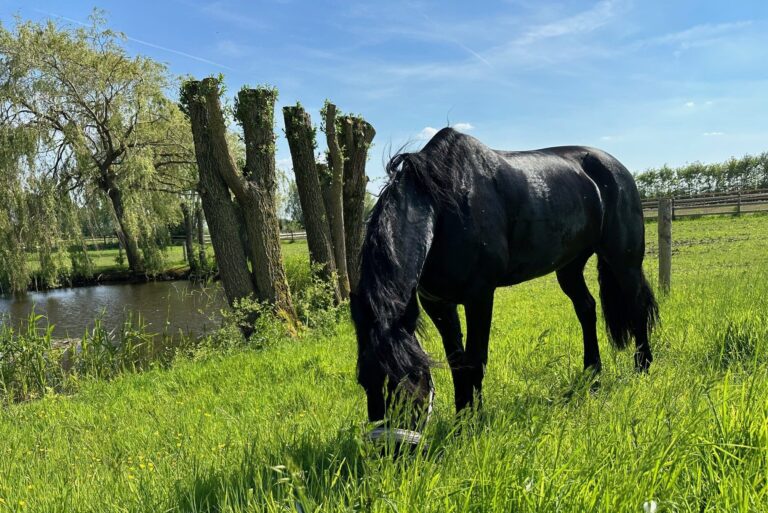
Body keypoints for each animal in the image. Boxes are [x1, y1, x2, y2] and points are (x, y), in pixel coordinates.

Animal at [350, 127, 658, 434]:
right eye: (364, 382)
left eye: (406, 382)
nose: (390, 447)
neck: (443, 205)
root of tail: (616, 168)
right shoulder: (437, 303)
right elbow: (457, 362)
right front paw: (461, 420)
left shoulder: (480, 296)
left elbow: (475, 361)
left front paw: (474, 425)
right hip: (570, 267)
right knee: (587, 309)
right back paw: (592, 376)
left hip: (624, 262)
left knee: (637, 306)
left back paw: (642, 369)